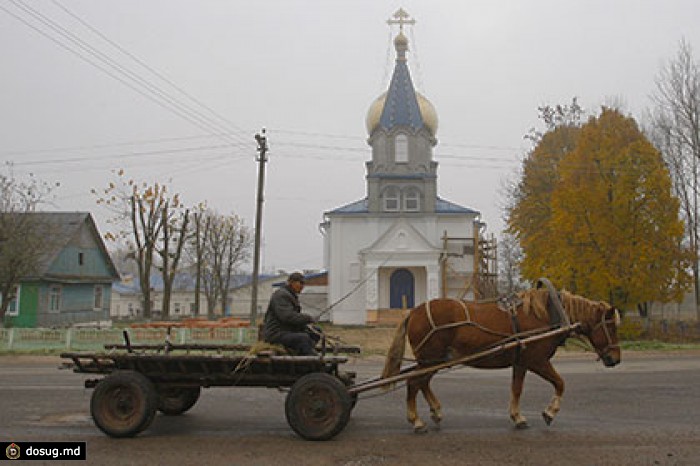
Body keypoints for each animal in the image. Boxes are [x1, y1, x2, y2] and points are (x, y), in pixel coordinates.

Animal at [380, 284, 620, 434]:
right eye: (610, 327)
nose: (615, 359)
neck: (546, 314)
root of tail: (413, 312)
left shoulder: (521, 362)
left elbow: (516, 389)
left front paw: (517, 417)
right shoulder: (537, 361)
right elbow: (560, 383)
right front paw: (549, 412)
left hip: (434, 360)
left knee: (423, 382)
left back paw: (436, 411)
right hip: (430, 359)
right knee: (414, 382)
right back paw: (416, 421)